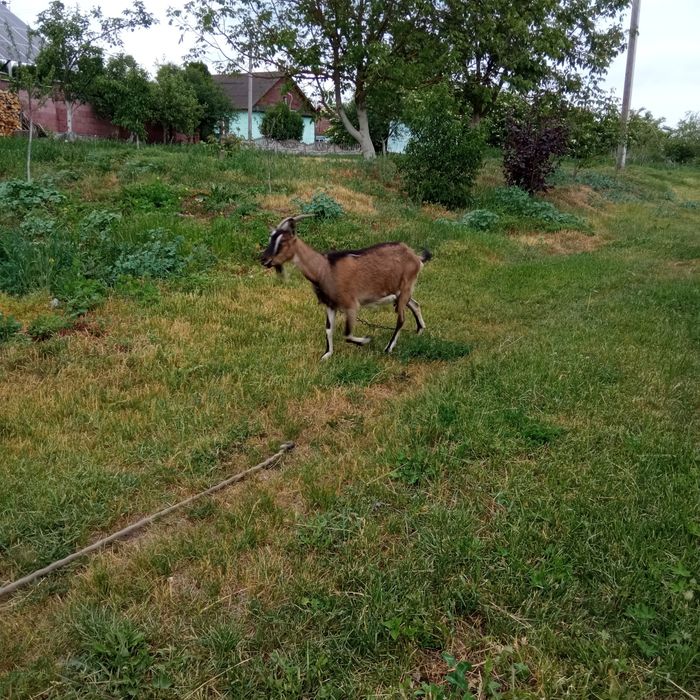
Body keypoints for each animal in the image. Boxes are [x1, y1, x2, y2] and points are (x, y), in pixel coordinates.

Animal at [261, 215, 431, 360]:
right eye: (271, 238)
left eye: (282, 242)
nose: (263, 259)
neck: (325, 269)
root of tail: (416, 257)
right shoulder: (330, 305)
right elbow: (329, 329)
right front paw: (326, 355)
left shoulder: (351, 304)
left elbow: (347, 334)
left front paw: (365, 340)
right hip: (400, 292)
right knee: (415, 304)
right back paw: (419, 330)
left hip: (405, 287)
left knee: (401, 319)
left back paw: (388, 348)